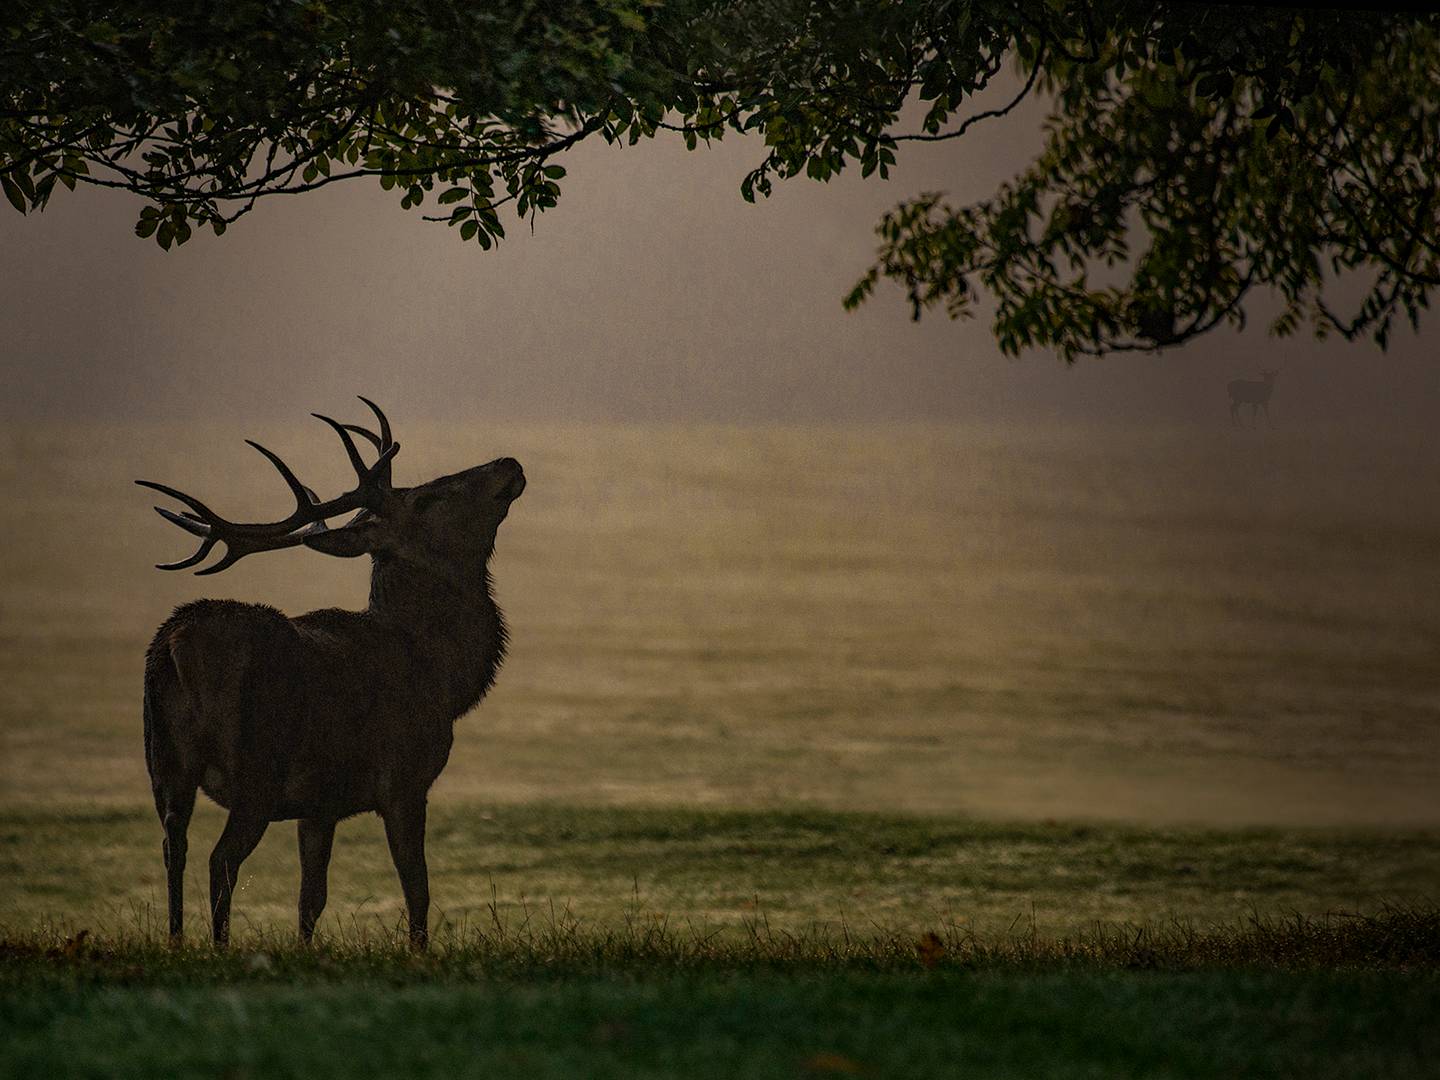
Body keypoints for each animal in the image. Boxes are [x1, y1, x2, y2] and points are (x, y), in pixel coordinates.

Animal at [136, 400, 524, 944]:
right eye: (428, 497)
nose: (508, 463)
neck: (443, 674)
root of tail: (173, 645)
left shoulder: (320, 805)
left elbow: (310, 900)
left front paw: (304, 949)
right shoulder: (405, 778)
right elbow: (418, 889)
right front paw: (419, 950)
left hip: (164, 763)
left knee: (174, 847)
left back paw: (175, 942)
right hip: (257, 767)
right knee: (221, 861)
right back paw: (218, 946)